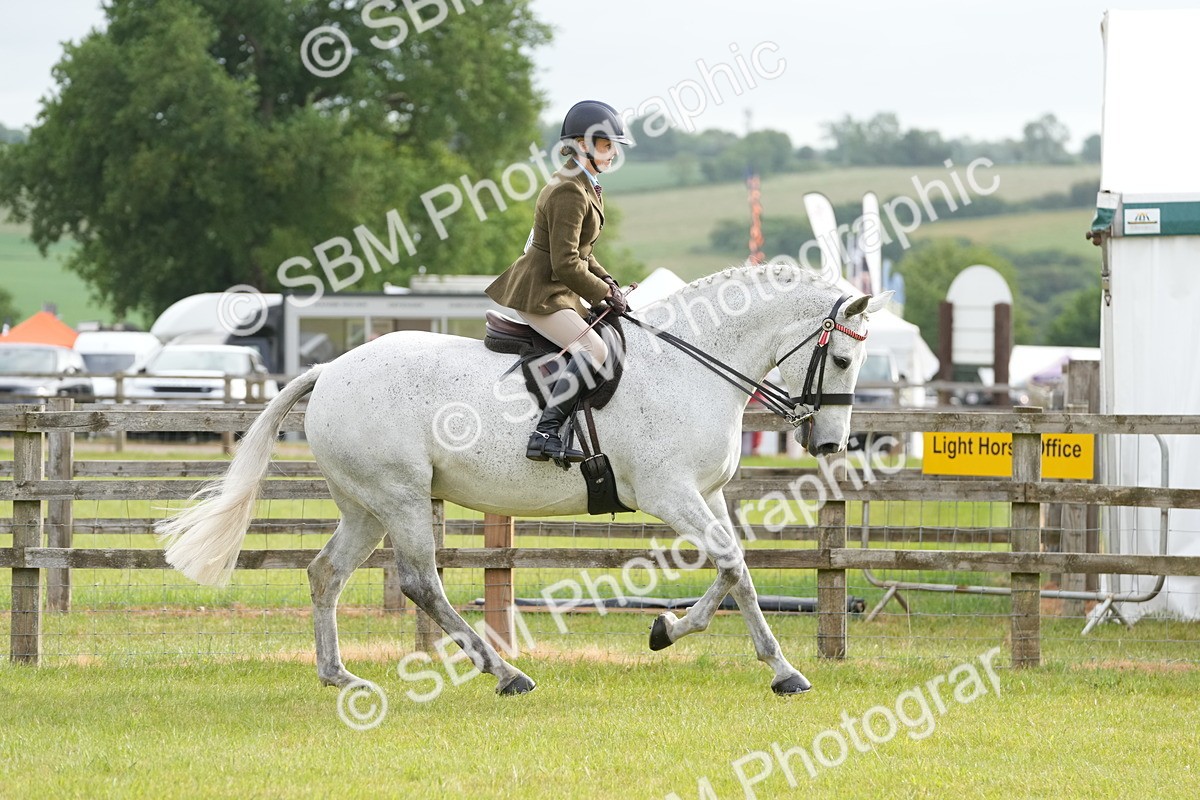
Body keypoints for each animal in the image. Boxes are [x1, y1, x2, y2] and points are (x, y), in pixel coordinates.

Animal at [156, 263, 890, 696]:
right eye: (843, 358)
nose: (830, 442)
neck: (693, 365)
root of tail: (330, 369)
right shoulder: (670, 494)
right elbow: (734, 563)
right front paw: (783, 670)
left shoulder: (703, 495)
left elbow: (733, 565)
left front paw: (668, 629)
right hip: (400, 497)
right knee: (421, 583)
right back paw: (505, 673)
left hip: (366, 507)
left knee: (325, 574)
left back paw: (339, 675)